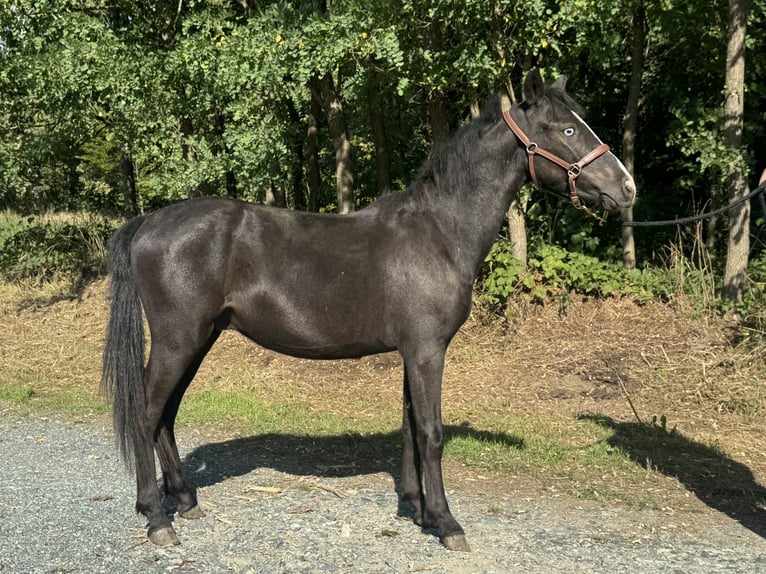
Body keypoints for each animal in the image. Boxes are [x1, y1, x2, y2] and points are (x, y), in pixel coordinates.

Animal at [101, 69, 635, 552]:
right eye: (567, 130)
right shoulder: (427, 351)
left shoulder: (413, 351)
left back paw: (185, 500)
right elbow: (431, 433)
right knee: (146, 415)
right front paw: (447, 523)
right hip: (179, 340)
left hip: (200, 339)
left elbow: (410, 429)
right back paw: (157, 518)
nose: (628, 188)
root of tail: (148, 222)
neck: (439, 232)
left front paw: (417, 509)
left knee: (166, 415)